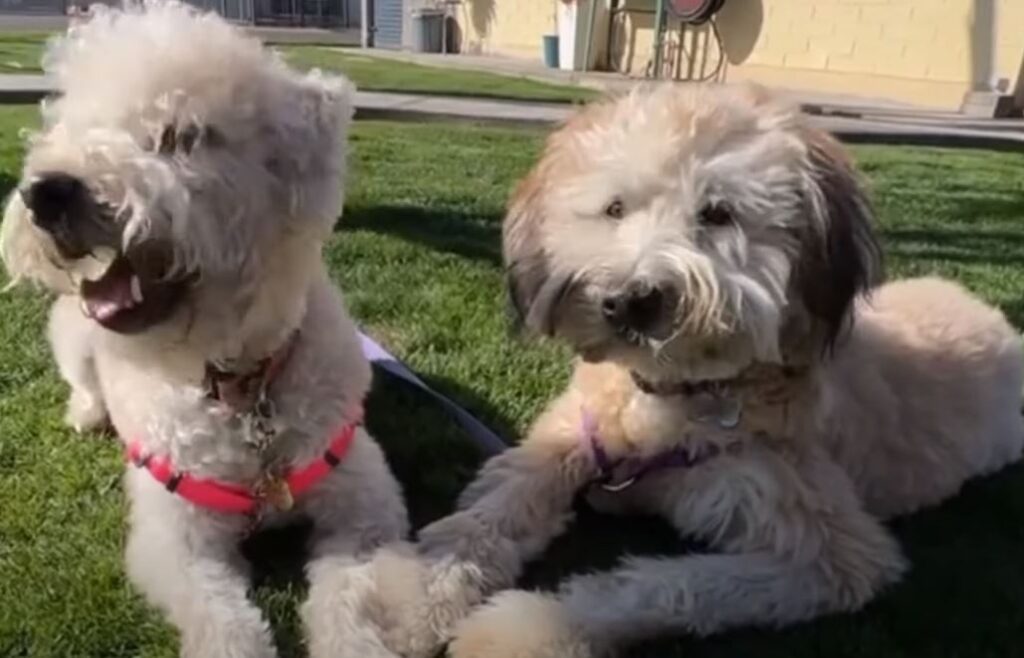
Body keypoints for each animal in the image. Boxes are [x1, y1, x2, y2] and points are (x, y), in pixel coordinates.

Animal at [4, 5, 411, 658]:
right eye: (67, 122)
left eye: (181, 136)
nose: (46, 191)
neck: (241, 387)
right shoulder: (176, 538)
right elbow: (224, 622)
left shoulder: (365, 502)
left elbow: (349, 594)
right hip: (73, 340)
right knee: (83, 384)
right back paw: (87, 412)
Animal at [358, 83, 1024, 658]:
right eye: (615, 207)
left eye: (718, 213)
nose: (628, 301)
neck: (665, 402)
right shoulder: (563, 438)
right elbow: (491, 512)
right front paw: (409, 595)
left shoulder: (829, 549)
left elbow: (670, 585)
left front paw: (527, 630)